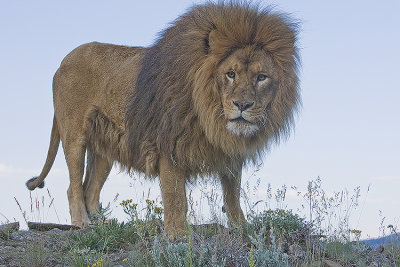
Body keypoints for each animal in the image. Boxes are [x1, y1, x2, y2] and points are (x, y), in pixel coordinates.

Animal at [25, 1, 300, 237]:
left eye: (262, 77)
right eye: (231, 74)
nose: (242, 105)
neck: (211, 115)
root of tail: (62, 62)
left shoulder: (229, 153)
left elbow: (232, 195)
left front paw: (243, 228)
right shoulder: (169, 145)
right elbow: (175, 196)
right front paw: (177, 235)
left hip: (105, 149)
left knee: (89, 190)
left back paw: (103, 225)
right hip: (74, 136)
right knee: (73, 186)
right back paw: (82, 223)